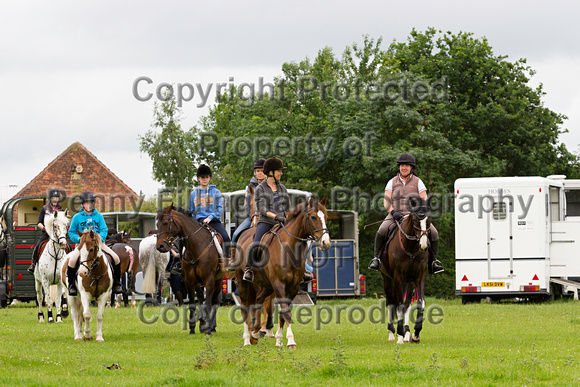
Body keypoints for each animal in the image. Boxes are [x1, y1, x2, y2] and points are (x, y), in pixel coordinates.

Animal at [155, 206, 225, 336]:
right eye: (157, 224)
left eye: (166, 222)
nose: (160, 246)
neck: (197, 246)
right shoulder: (189, 281)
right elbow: (193, 304)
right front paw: (192, 328)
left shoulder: (209, 280)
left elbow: (208, 303)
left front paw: (208, 329)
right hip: (198, 283)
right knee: (201, 298)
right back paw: (203, 324)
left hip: (218, 282)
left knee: (214, 301)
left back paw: (212, 326)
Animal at [233, 197, 328, 348]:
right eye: (313, 217)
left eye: (326, 217)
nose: (326, 242)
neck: (289, 249)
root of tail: (244, 233)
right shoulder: (279, 284)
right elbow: (286, 311)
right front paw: (290, 341)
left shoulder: (293, 287)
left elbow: (283, 313)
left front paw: (278, 340)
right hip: (243, 282)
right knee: (244, 306)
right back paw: (247, 338)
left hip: (267, 285)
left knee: (259, 299)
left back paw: (255, 333)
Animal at [380, 199, 430, 344]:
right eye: (415, 219)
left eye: (429, 219)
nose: (423, 245)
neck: (411, 248)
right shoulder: (398, 278)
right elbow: (399, 306)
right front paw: (399, 335)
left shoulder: (419, 276)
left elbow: (420, 303)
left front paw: (415, 334)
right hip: (388, 279)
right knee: (391, 302)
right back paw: (392, 333)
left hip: (409, 282)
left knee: (407, 303)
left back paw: (407, 332)